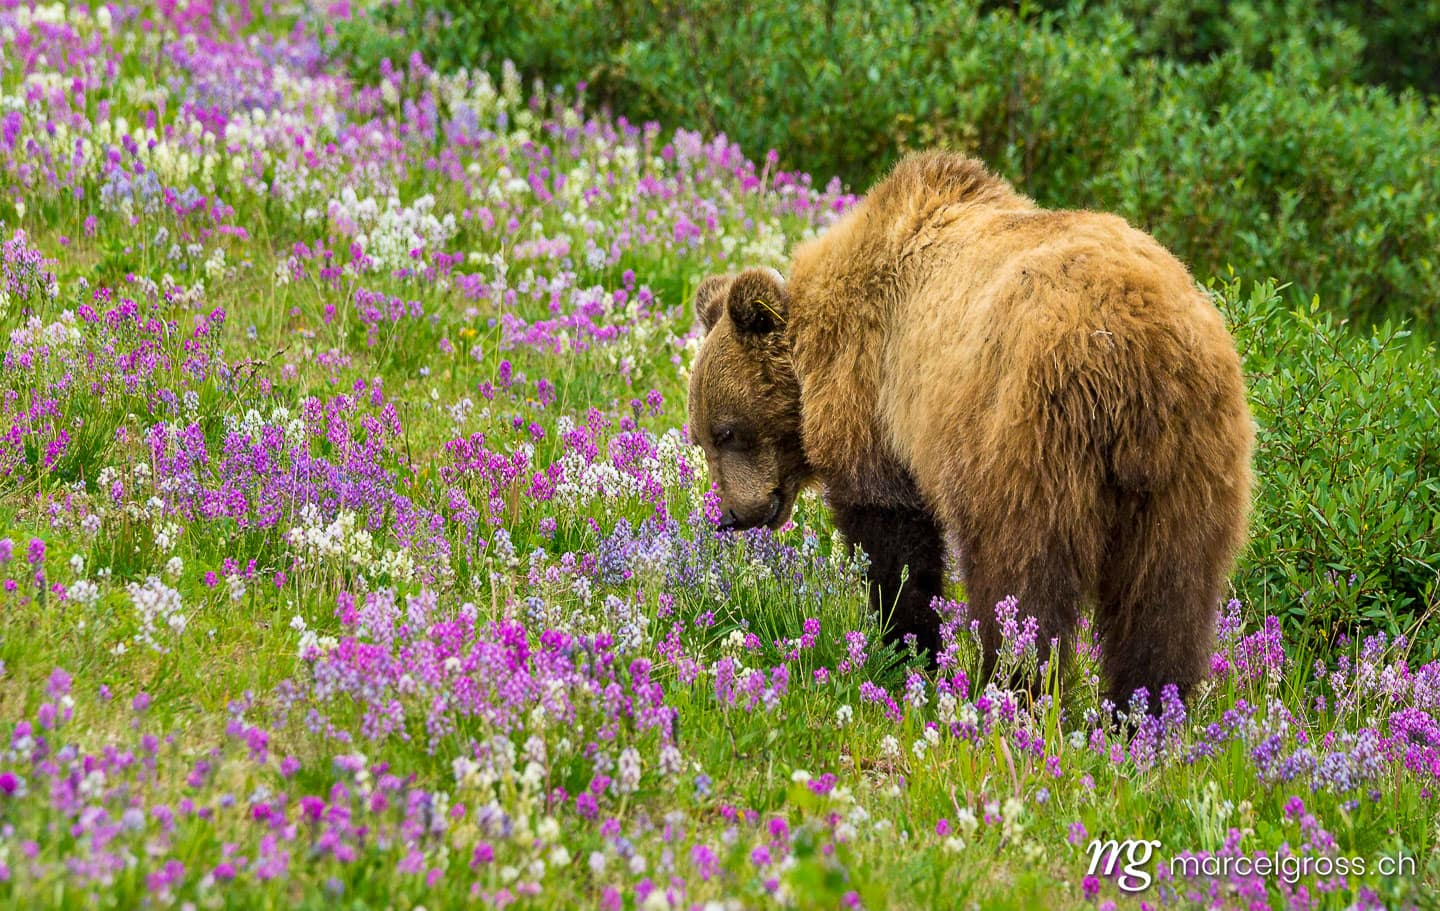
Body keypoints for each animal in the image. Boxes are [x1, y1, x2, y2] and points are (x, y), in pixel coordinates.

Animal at [687, 150, 1253, 712]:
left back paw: (1006, 686)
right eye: (702, 436)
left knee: (1022, 579)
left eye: (727, 431)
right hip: (1191, 462)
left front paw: (907, 648)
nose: (731, 515)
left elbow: (894, 542)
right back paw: (1145, 711)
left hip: (1027, 434)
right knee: (1168, 594)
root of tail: (1135, 350)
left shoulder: (877, 398)